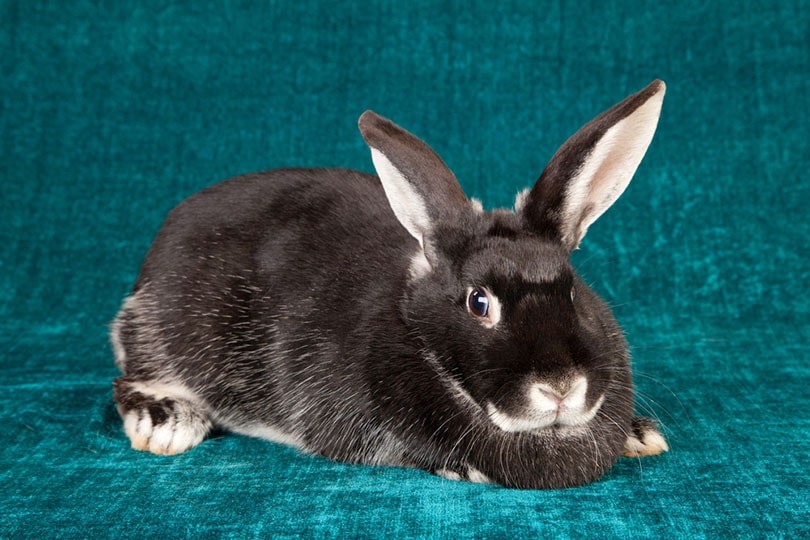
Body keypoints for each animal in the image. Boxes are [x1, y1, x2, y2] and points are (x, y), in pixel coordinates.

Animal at [111, 80, 669, 490]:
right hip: (162, 334)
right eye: (479, 302)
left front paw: (639, 434)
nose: (560, 386)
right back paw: (166, 422)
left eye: (572, 290)